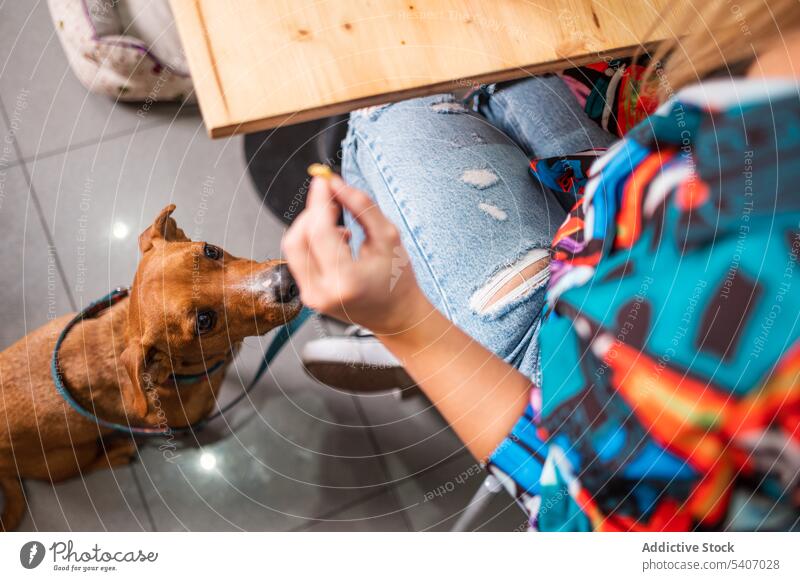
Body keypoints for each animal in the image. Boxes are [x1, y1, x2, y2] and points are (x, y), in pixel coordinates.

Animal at [0, 205, 300, 532]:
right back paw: (119, 452)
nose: (287, 281)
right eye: (203, 321)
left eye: (210, 250)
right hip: (69, 455)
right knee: (81, 467)